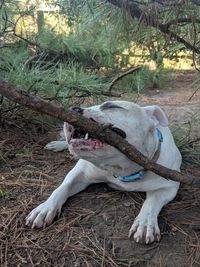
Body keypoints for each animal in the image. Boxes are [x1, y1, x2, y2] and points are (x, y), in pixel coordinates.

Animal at [25, 100, 181, 245]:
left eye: (112, 106)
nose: (73, 108)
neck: (122, 170)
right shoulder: (80, 173)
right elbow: (62, 188)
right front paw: (45, 208)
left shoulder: (168, 187)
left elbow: (151, 203)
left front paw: (144, 223)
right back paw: (58, 144)